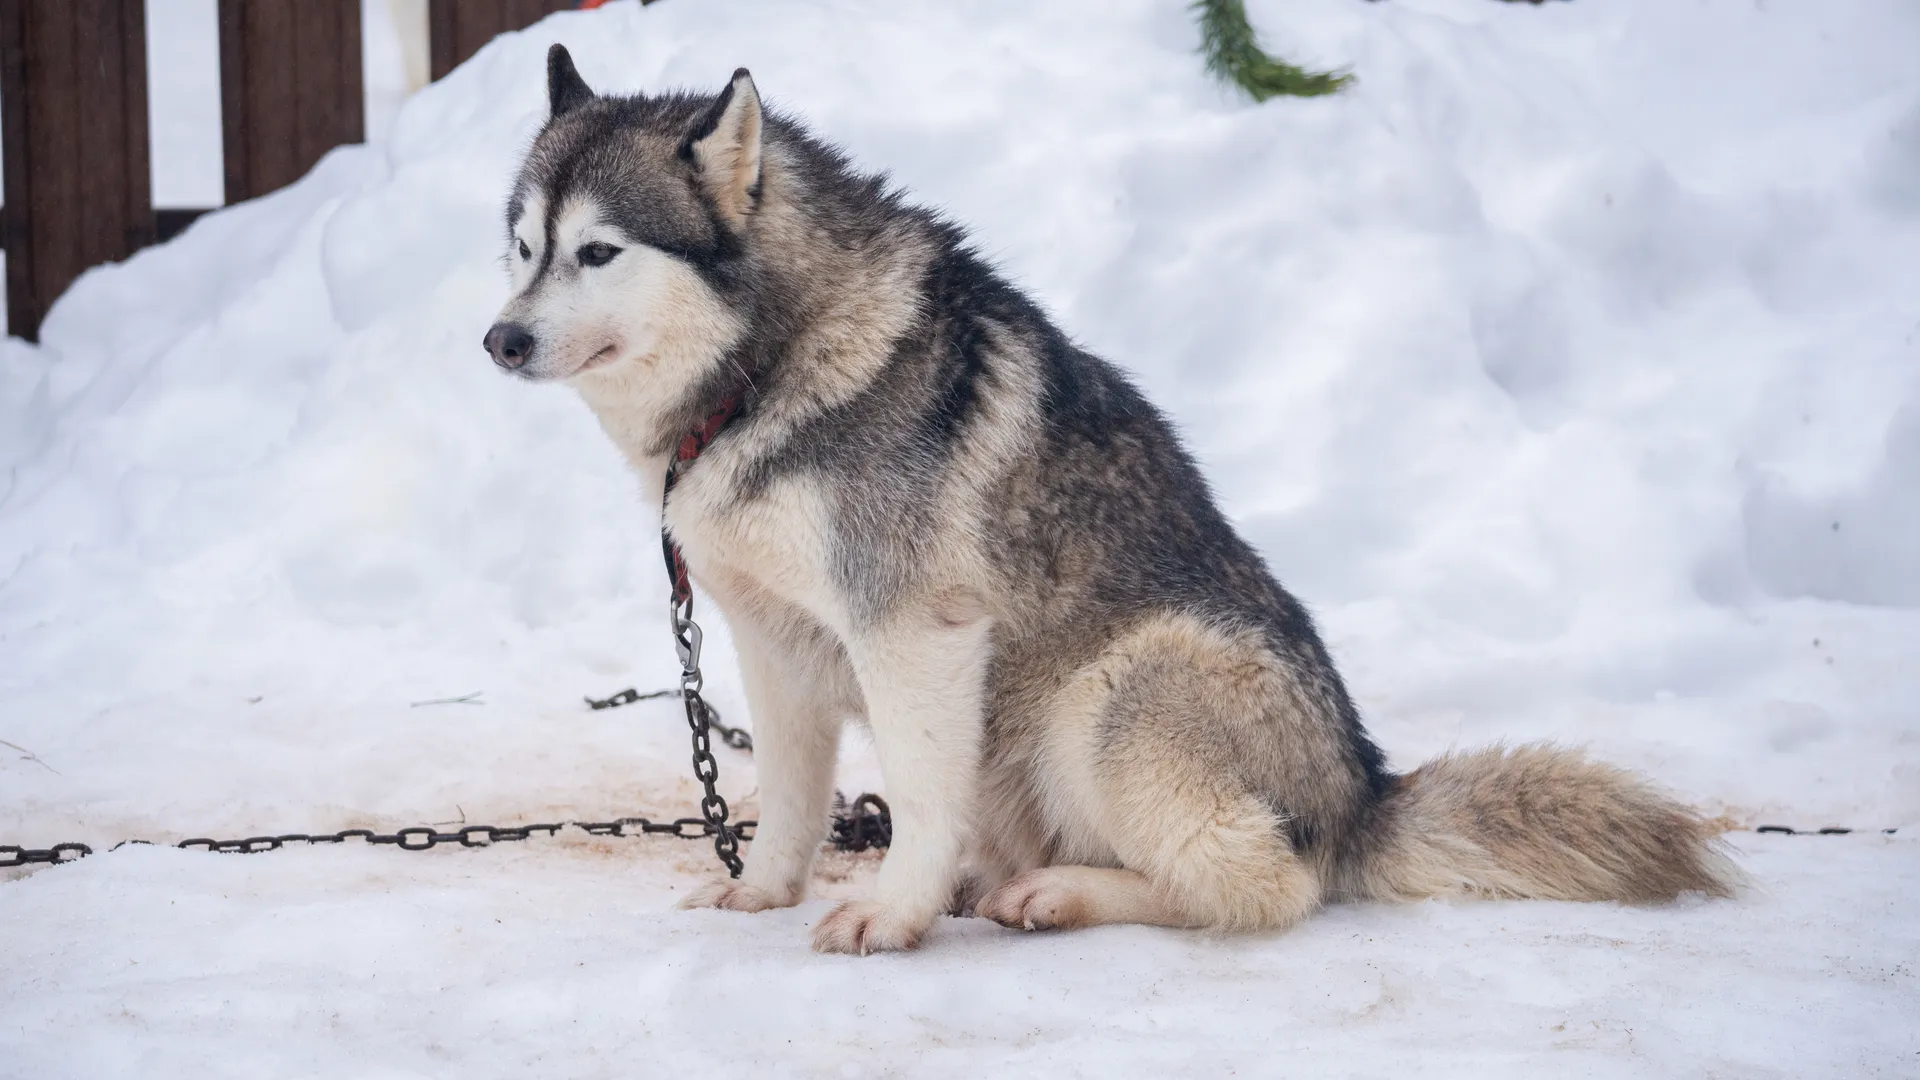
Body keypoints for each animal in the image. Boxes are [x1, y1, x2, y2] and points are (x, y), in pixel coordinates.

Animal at [483, 46, 1743, 949]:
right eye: (523, 246)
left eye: (599, 251)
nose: (500, 341)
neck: (765, 369)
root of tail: (1361, 799)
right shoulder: (773, 639)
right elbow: (789, 802)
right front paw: (760, 895)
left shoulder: (916, 636)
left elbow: (918, 803)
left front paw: (890, 914)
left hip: (1113, 696)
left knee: (1262, 885)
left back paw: (1058, 896)